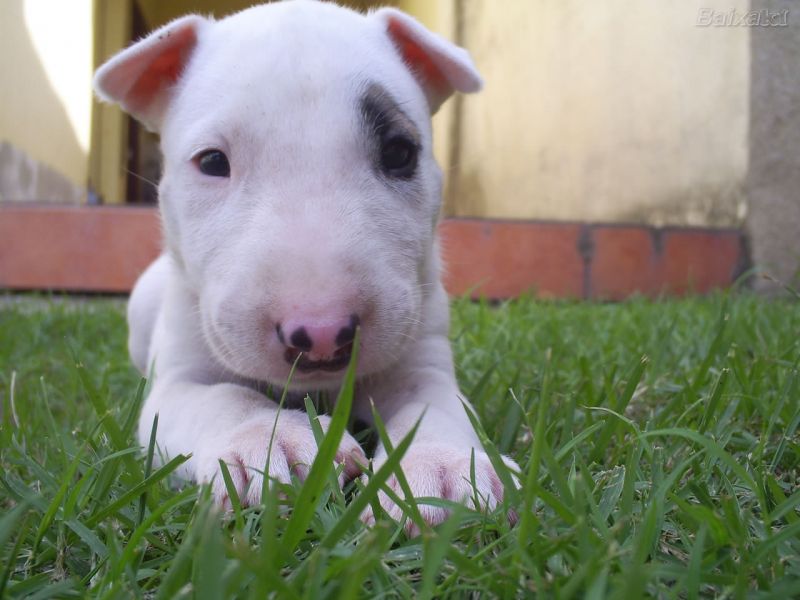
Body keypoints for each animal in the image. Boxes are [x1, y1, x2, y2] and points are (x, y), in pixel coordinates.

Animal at [95, 0, 520, 528]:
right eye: (212, 161)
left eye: (399, 153)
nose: (321, 336)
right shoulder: (177, 382)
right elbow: (221, 396)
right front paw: (269, 442)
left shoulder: (421, 357)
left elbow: (434, 403)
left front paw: (442, 467)